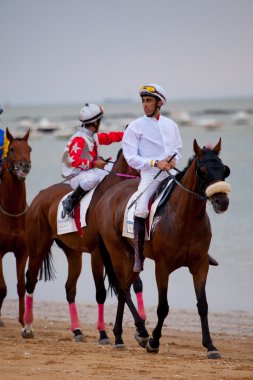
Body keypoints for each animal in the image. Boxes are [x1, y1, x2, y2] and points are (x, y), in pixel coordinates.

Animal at [22, 150, 148, 342]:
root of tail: (40, 195)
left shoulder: (120, 250)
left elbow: (135, 283)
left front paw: (140, 325)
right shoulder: (98, 252)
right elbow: (101, 292)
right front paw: (103, 333)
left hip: (73, 252)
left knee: (70, 287)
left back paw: (77, 330)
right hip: (38, 246)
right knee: (31, 279)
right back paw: (28, 327)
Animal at [93, 138, 231, 358]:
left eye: (224, 170)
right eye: (202, 170)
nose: (222, 201)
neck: (185, 218)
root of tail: (106, 196)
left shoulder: (200, 265)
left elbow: (203, 305)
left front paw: (210, 345)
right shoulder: (163, 267)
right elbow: (163, 307)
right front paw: (154, 341)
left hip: (135, 257)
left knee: (125, 287)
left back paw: (119, 336)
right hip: (116, 251)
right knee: (123, 288)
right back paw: (141, 332)